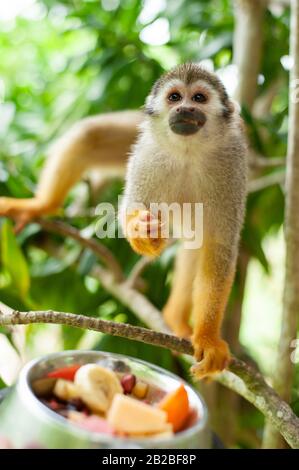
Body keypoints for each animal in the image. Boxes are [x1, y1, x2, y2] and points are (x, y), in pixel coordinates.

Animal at [0, 63, 247, 378]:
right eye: (175, 97)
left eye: (199, 98)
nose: (185, 109)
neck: (188, 151)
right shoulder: (148, 154)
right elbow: (134, 209)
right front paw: (142, 231)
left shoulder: (232, 166)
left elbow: (218, 245)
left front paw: (207, 339)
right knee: (91, 134)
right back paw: (40, 206)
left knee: (198, 238)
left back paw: (174, 318)